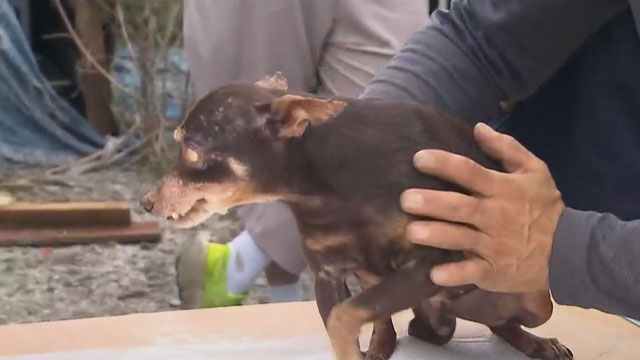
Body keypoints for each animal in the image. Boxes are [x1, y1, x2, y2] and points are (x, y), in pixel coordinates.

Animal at [142, 73, 572, 360]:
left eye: (192, 151)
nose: (147, 203)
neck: (331, 190)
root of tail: (442, 313)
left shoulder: (434, 262)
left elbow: (344, 318)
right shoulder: (329, 274)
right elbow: (343, 319)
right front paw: (360, 349)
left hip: (534, 300)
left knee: (501, 322)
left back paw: (538, 344)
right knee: (398, 323)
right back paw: (383, 345)